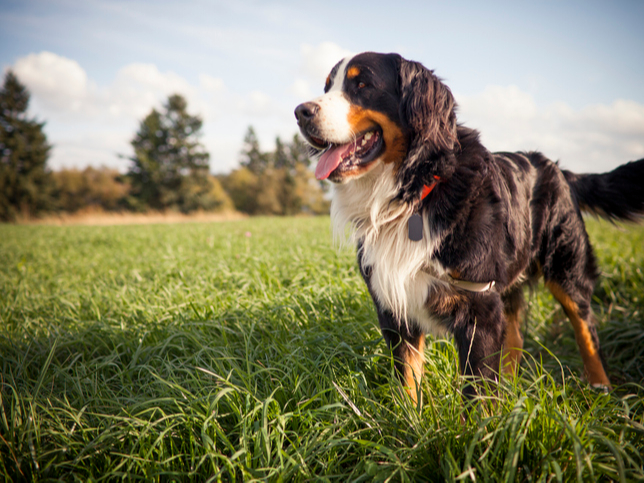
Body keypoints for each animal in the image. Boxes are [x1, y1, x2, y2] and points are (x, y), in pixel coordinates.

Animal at [296, 52, 644, 400]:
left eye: (362, 85)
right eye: (327, 87)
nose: (300, 112)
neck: (414, 192)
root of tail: (557, 167)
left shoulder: (479, 307)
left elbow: (476, 392)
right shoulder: (395, 308)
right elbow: (407, 382)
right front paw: (408, 415)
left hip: (566, 270)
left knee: (586, 329)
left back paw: (601, 389)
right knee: (516, 339)